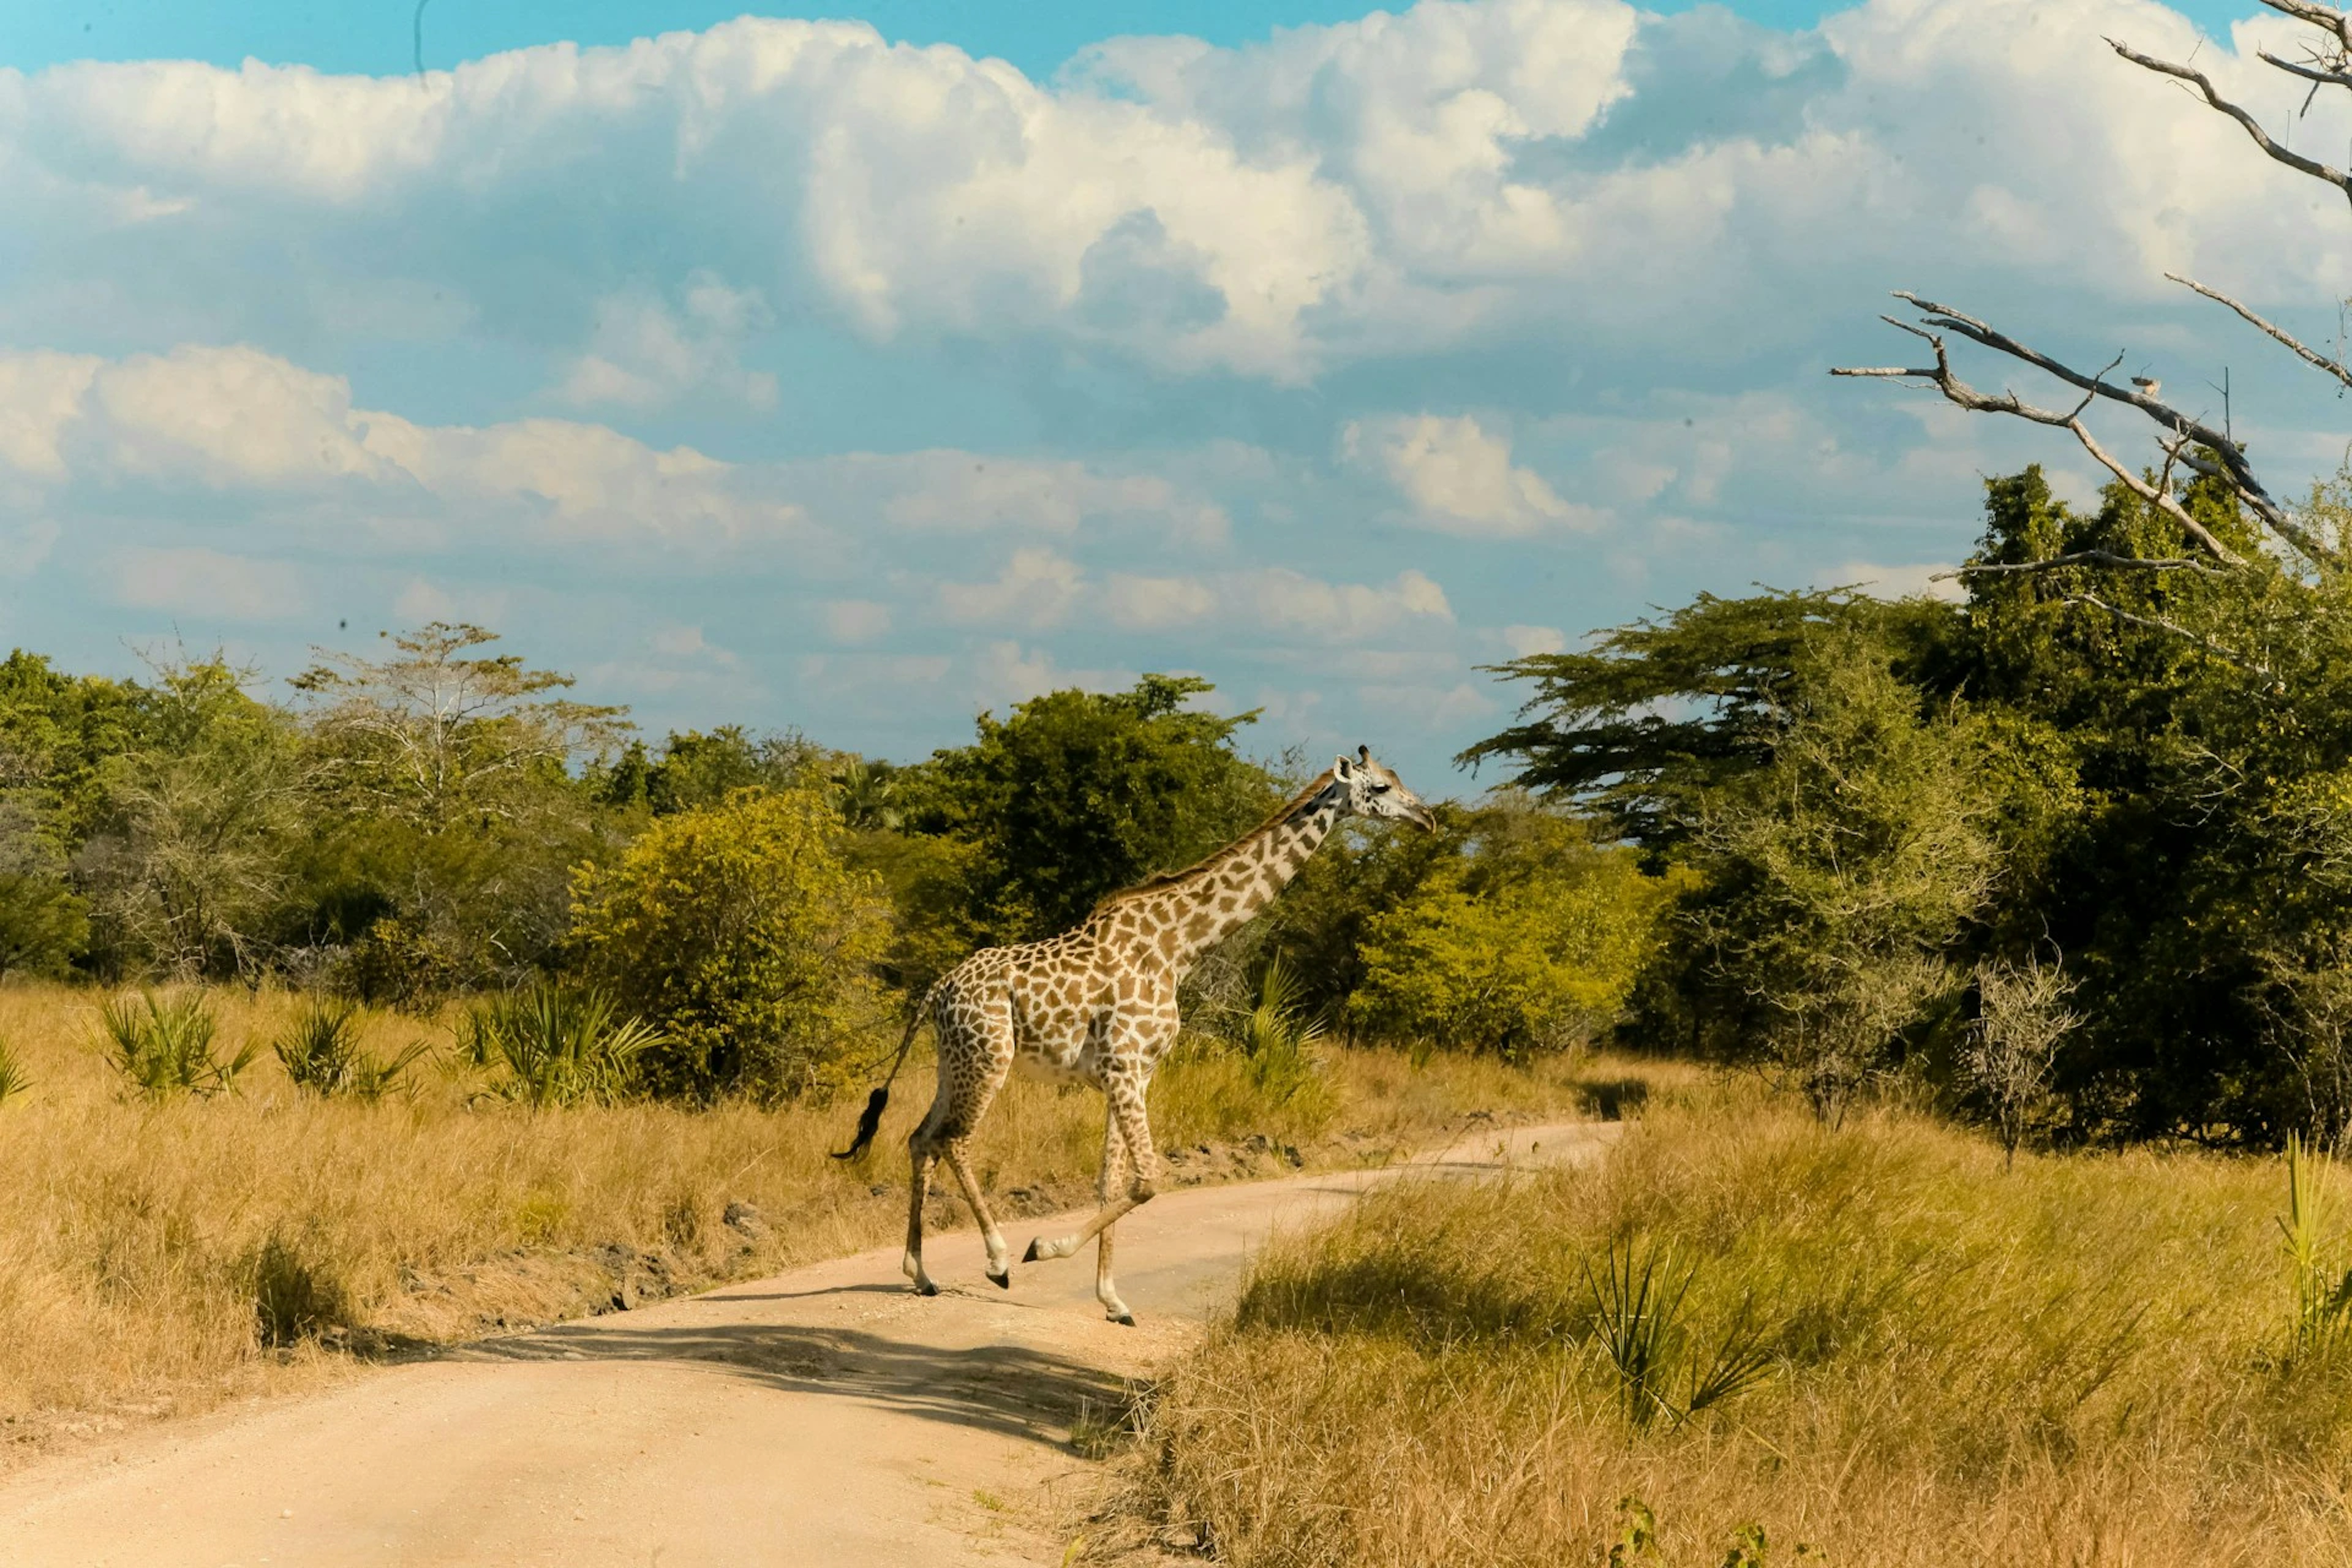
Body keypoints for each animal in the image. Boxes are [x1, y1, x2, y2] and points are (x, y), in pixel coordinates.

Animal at [846, 747, 1430, 1325]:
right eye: (1380, 787)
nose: (1427, 818)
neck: (1178, 946)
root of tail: (938, 990)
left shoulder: (1133, 1073)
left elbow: (1111, 1180)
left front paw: (1113, 1300)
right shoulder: (1123, 1065)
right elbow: (1149, 1178)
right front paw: (1044, 1248)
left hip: (955, 1060)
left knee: (921, 1137)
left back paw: (921, 1274)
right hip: (991, 1056)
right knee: (954, 1138)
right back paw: (999, 1260)